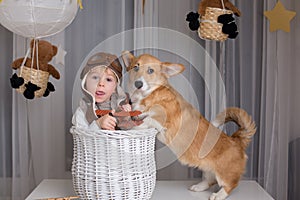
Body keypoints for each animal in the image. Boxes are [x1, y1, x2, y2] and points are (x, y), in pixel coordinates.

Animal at [121, 51, 255, 200]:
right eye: (135, 67)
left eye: (150, 70)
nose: (138, 84)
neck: (149, 94)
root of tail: (237, 140)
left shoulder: (162, 119)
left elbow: (147, 118)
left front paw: (132, 125)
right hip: (206, 167)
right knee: (210, 180)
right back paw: (198, 187)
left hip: (224, 173)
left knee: (230, 185)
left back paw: (218, 195)